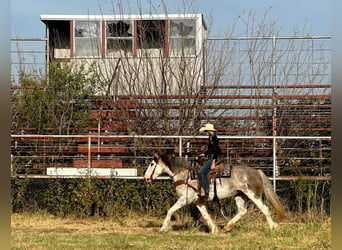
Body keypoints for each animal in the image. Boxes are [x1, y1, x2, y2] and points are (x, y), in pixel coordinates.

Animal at [144, 153, 286, 233]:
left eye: (151, 164)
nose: (146, 178)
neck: (184, 176)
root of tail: (256, 171)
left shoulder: (185, 199)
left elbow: (170, 210)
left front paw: (163, 228)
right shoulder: (198, 202)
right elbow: (206, 216)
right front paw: (214, 229)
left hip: (253, 194)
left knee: (265, 209)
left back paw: (273, 227)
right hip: (239, 195)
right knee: (242, 211)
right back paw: (228, 226)